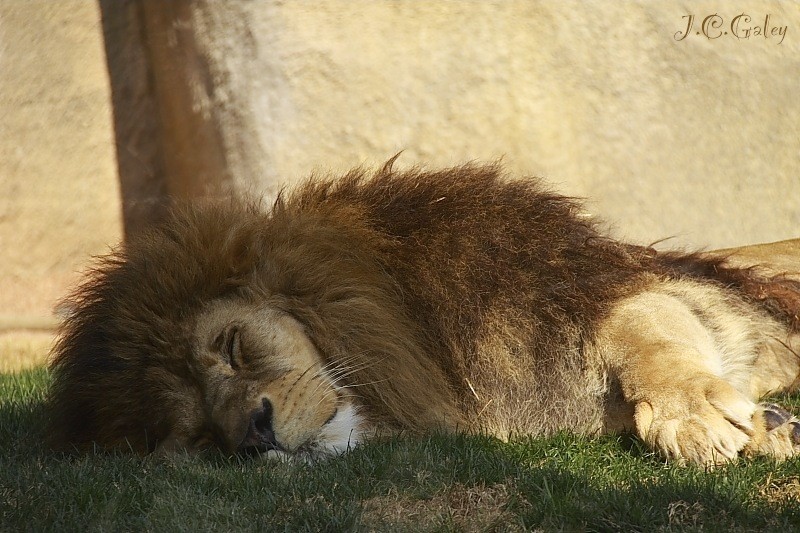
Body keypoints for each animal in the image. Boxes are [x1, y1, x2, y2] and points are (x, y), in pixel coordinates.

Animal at [48, 161, 800, 462]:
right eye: (199, 435)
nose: (254, 435)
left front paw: (699, 416)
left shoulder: (594, 284)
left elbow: (648, 337)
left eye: (232, 346)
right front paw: (767, 427)